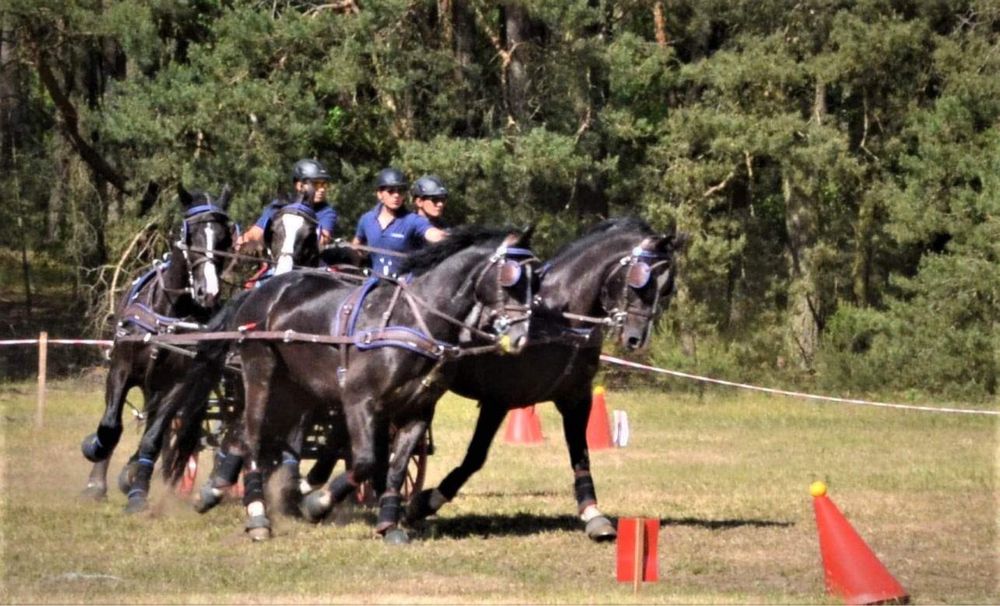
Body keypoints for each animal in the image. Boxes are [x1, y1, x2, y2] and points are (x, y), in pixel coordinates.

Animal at [80, 185, 234, 504]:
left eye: (224, 237)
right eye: (191, 235)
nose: (209, 292)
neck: (169, 313)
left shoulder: (177, 385)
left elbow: (153, 437)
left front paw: (137, 488)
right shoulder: (120, 369)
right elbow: (110, 426)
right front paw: (94, 462)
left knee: (160, 430)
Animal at [162, 227, 540, 540]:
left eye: (535, 281)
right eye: (510, 277)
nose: (521, 337)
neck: (413, 321)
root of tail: (262, 292)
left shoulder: (417, 412)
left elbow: (396, 467)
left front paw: (389, 525)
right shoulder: (360, 401)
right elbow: (366, 461)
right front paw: (316, 504)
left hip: (292, 392)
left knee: (238, 434)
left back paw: (212, 491)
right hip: (261, 372)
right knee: (253, 437)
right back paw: (257, 516)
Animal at [402, 218, 684, 540]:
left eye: (667, 287)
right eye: (642, 281)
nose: (636, 339)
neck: (560, 320)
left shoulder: (576, 397)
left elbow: (580, 454)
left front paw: (593, 514)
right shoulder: (498, 399)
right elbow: (475, 457)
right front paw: (424, 503)